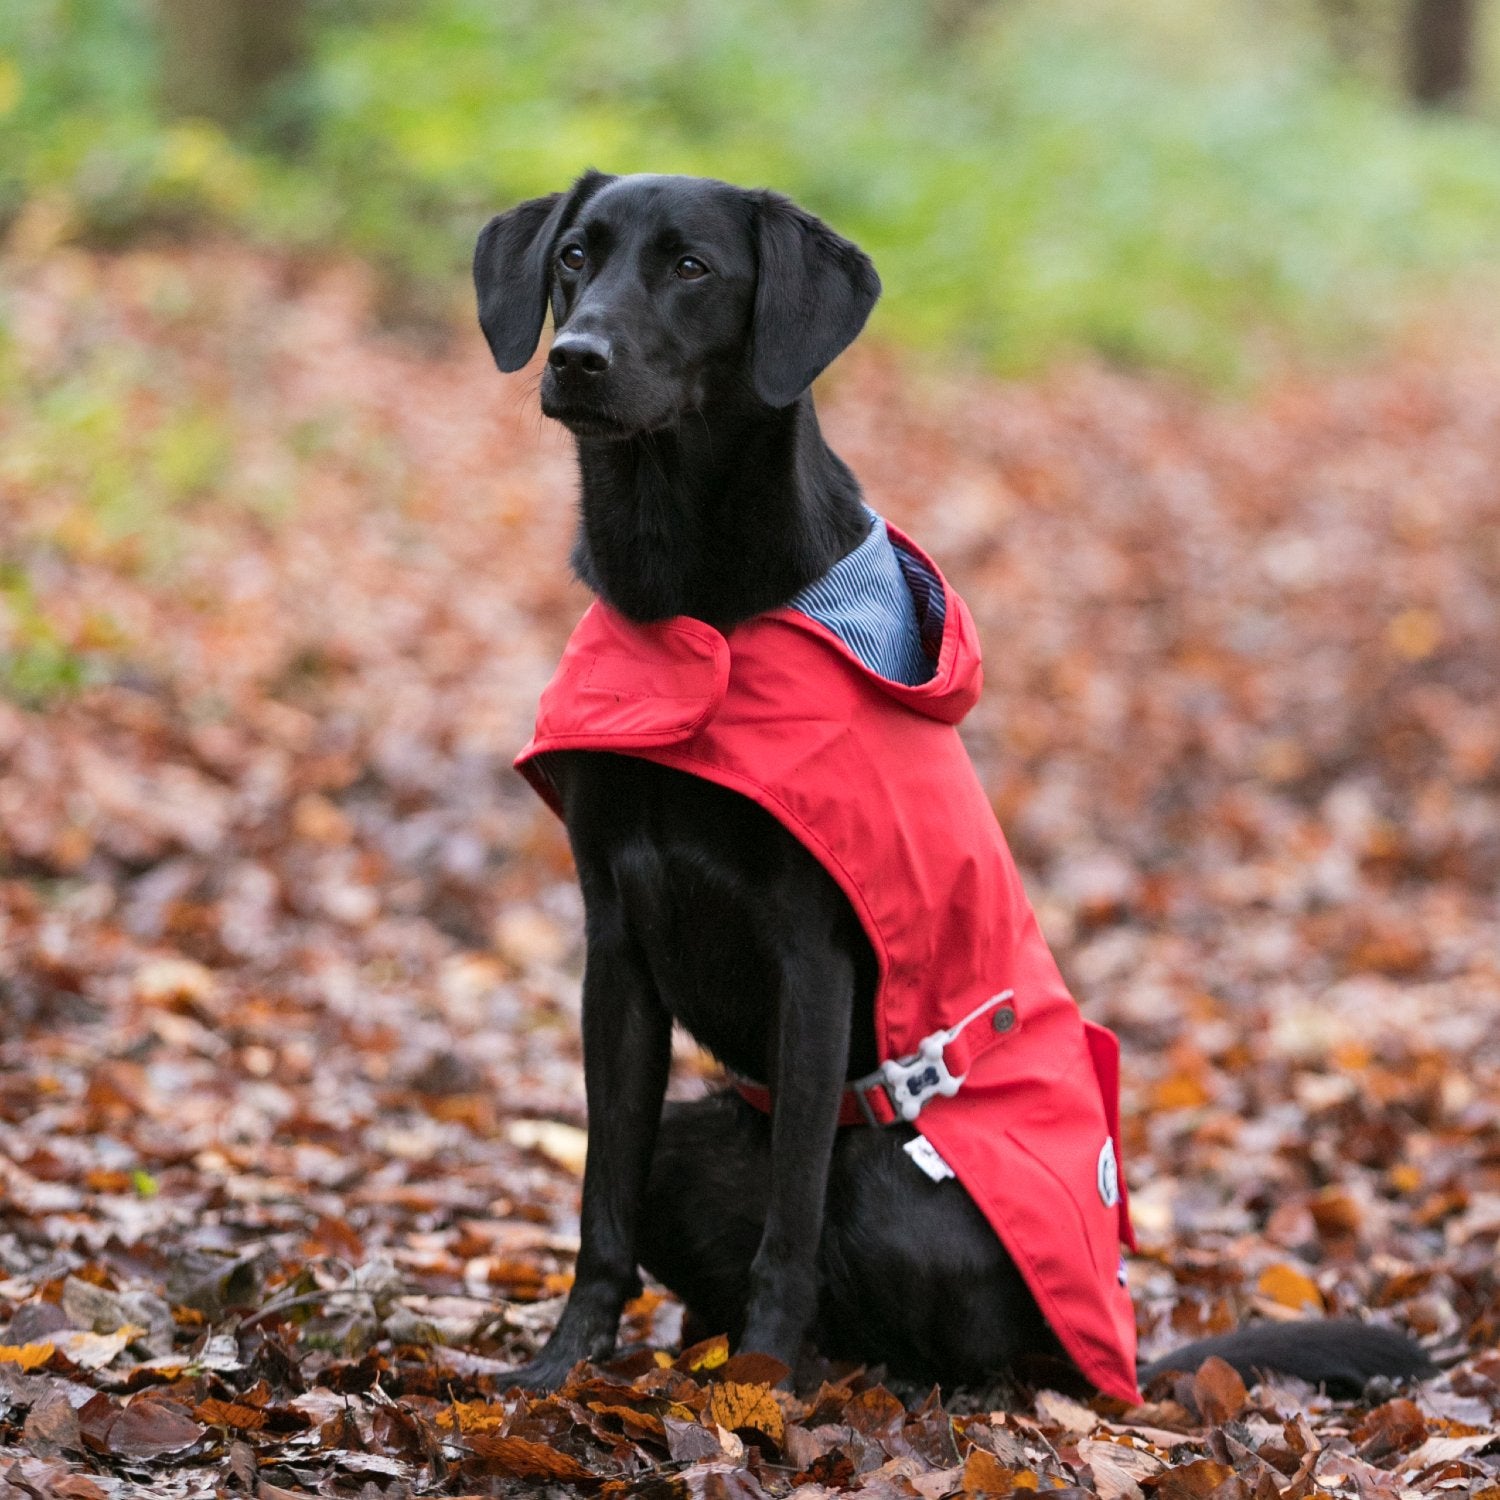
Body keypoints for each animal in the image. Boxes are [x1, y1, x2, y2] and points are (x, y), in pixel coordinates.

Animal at [474, 172, 1434, 1392]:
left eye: (691, 268)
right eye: (574, 259)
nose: (577, 357)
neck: (692, 603)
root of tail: (1121, 1363)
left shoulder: (811, 955)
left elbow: (793, 1216)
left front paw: (758, 1390)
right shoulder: (616, 947)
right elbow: (601, 1192)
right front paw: (560, 1370)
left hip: (901, 1192)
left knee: (946, 1332)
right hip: (692, 1143)